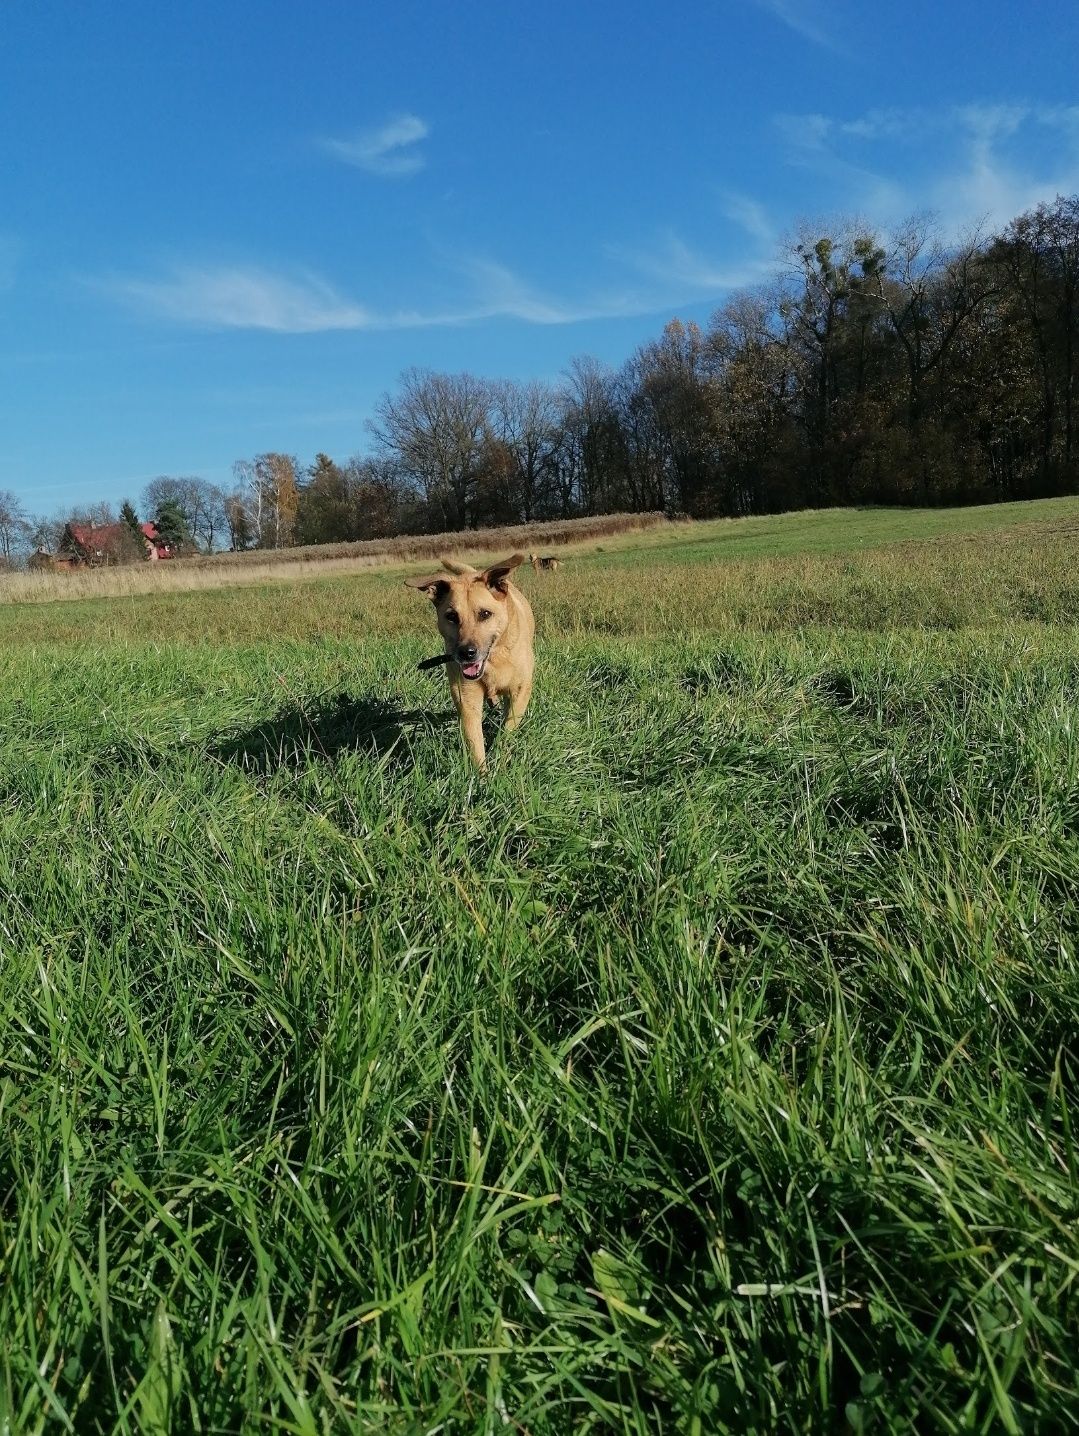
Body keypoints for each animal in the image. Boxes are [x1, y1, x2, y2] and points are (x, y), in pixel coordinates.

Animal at [405, 551, 537, 775]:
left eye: (485, 614)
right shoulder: (467, 698)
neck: (494, 660)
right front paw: (482, 777)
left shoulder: (519, 692)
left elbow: (507, 730)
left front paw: (500, 762)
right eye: (451, 616)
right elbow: (474, 740)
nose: (466, 653)